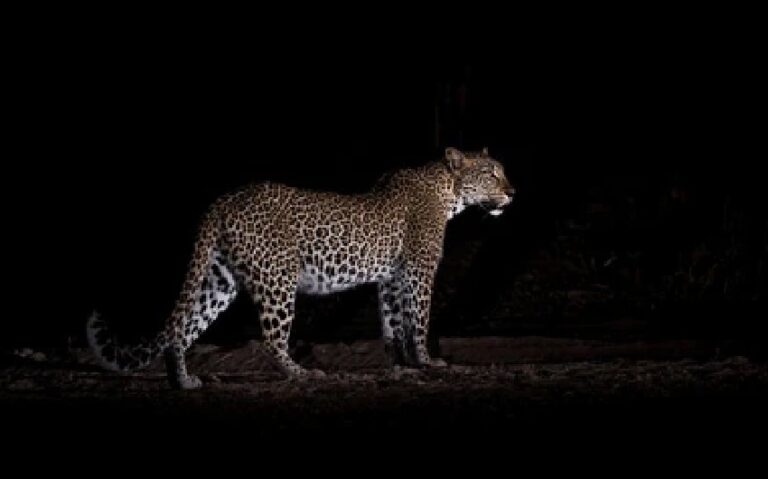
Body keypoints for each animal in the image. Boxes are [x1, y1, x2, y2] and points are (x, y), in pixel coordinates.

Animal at [87, 147, 516, 389]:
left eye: (501, 171)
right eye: (490, 173)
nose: (512, 192)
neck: (448, 192)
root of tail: (223, 200)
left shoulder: (390, 279)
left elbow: (393, 323)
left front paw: (401, 366)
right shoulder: (418, 271)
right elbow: (419, 320)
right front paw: (427, 362)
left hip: (219, 280)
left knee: (182, 327)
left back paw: (183, 381)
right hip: (278, 278)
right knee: (271, 338)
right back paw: (300, 374)